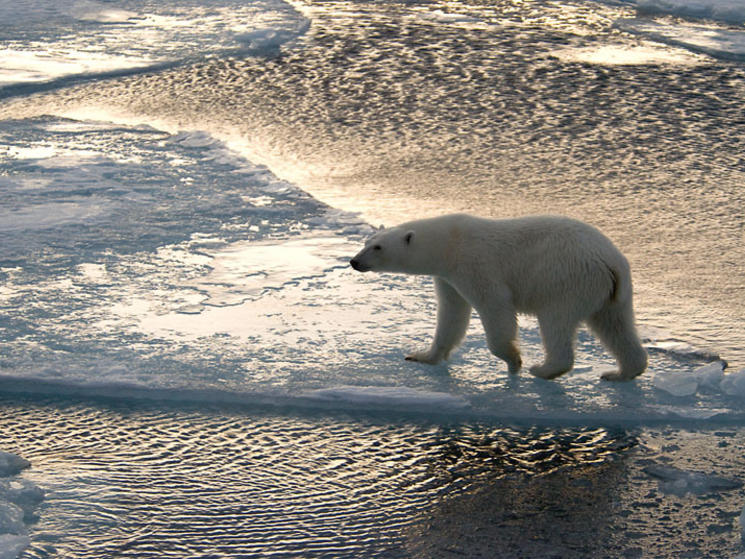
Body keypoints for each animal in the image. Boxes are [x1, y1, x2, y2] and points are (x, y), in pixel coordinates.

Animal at [348, 213, 644, 380]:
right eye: (367, 241)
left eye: (378, 247)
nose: (354, 261)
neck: (450, 243)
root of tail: (611, 262)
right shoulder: (448, 277)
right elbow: (451, 315)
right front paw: (423, 356)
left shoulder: (475, 265)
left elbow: (495, 308)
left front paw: (514, 361)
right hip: (611, 294)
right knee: (617, 327)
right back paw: (620, 373)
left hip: (566, 281)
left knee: (556, 322)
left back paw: (543, 369)